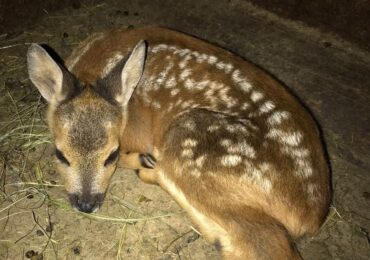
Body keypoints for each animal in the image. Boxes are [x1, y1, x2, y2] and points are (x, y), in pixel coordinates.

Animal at [27, 25, 330, 258]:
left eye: (111, 155)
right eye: (60, 154)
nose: (87, 204)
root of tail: (312, 214)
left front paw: (138, 159)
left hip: (193, 139)